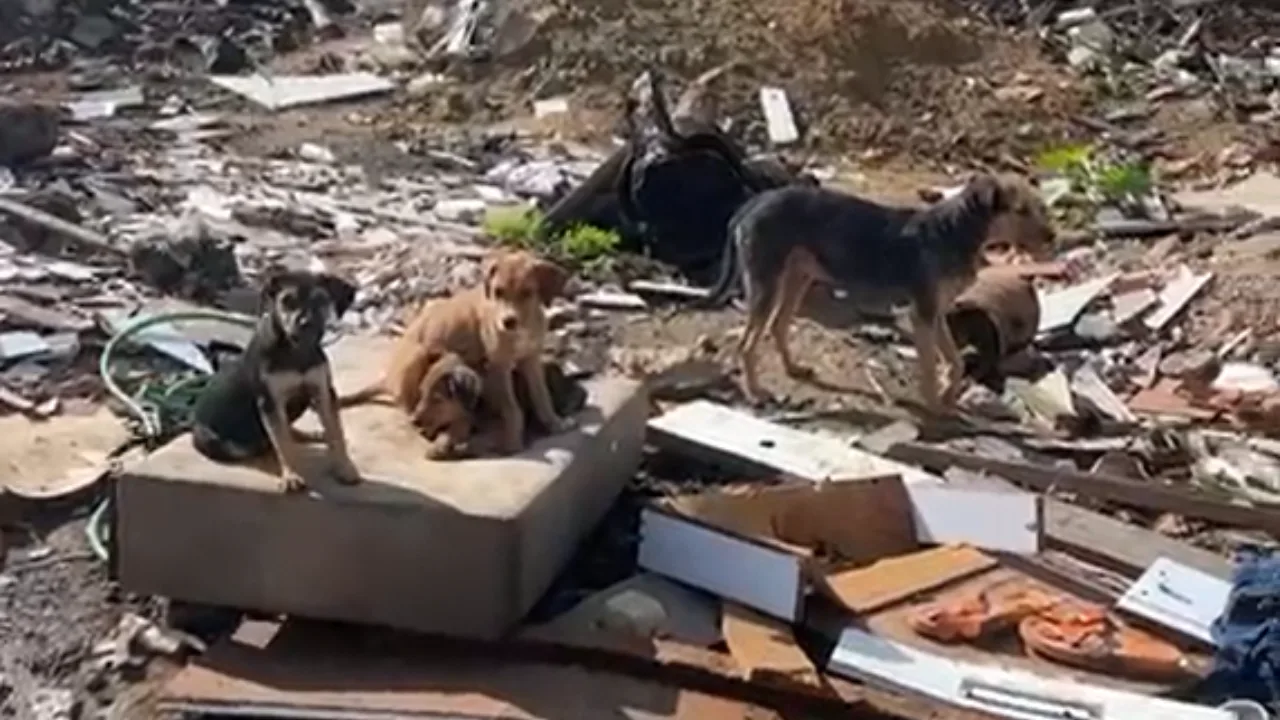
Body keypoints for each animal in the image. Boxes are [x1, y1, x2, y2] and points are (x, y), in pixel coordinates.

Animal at [192, 266, 360, 489]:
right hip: (214, 441)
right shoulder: (270, 401)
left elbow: (335, 432)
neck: (296, 350)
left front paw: (344, 467)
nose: (305, 323)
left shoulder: (323, 391)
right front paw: (291, 475)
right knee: (260, 442)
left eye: (320, 300)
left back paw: (312, 435)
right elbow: (282, 442)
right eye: (287, 300)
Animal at [343, 249, 578, 453]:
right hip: (418, 358)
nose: (507, 322)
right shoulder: (498, 366)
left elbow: (542, 397)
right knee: (412, 410)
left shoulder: (531, 359)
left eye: (527, 293)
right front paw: (513, 439)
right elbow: (512, 408)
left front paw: (555, 423)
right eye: (498, 292)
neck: (524, 326)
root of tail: (387, 379)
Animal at [706, 172, 1054, 409]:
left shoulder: (937, 311)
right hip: (767, 284)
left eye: (1040, 207)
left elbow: (955, 361)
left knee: (778, 325)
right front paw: (934, 404)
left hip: (797, 278)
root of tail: (754, 201)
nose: (1052, 236)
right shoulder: (921, 314)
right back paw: (755, 392)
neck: (956, 229)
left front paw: (947, 395)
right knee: (746, 344)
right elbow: (930, 366)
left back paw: (793, 369)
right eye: (1021, 210)